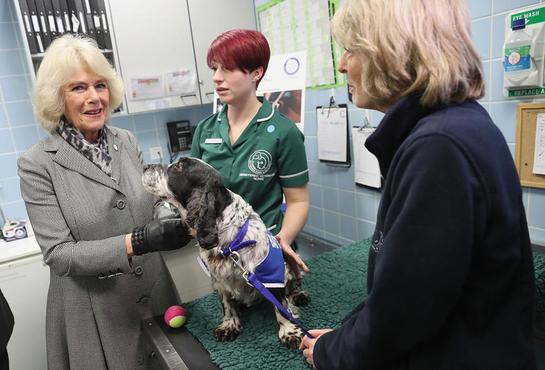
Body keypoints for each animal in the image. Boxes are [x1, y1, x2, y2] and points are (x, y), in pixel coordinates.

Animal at [140, 158, 310, 348]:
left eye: (179, 166)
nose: (145, 166)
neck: (227, 244)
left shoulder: (270, 274)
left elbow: (280, 305)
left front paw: (289, 331)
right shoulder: (219, 280)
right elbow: (226, 304)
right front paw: (229, 326)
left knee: (292, 284)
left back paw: (298, 295)